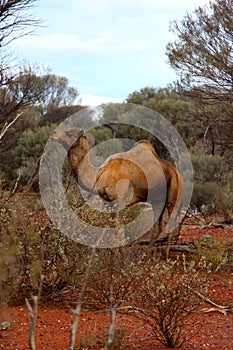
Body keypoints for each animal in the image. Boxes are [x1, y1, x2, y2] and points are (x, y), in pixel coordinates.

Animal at [50, 127, 182, 256]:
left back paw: (165, 256)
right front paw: (114, 254)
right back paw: (146, 256)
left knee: (172, 224)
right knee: (157, 228)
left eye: (69, 133)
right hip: (157, 200)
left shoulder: (121, 200)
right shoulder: (108, 202)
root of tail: (176, 171)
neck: (100, 173)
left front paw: (119, 257)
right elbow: (113, 227)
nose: (54, 133)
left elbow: (119, 230)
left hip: (173, 192)